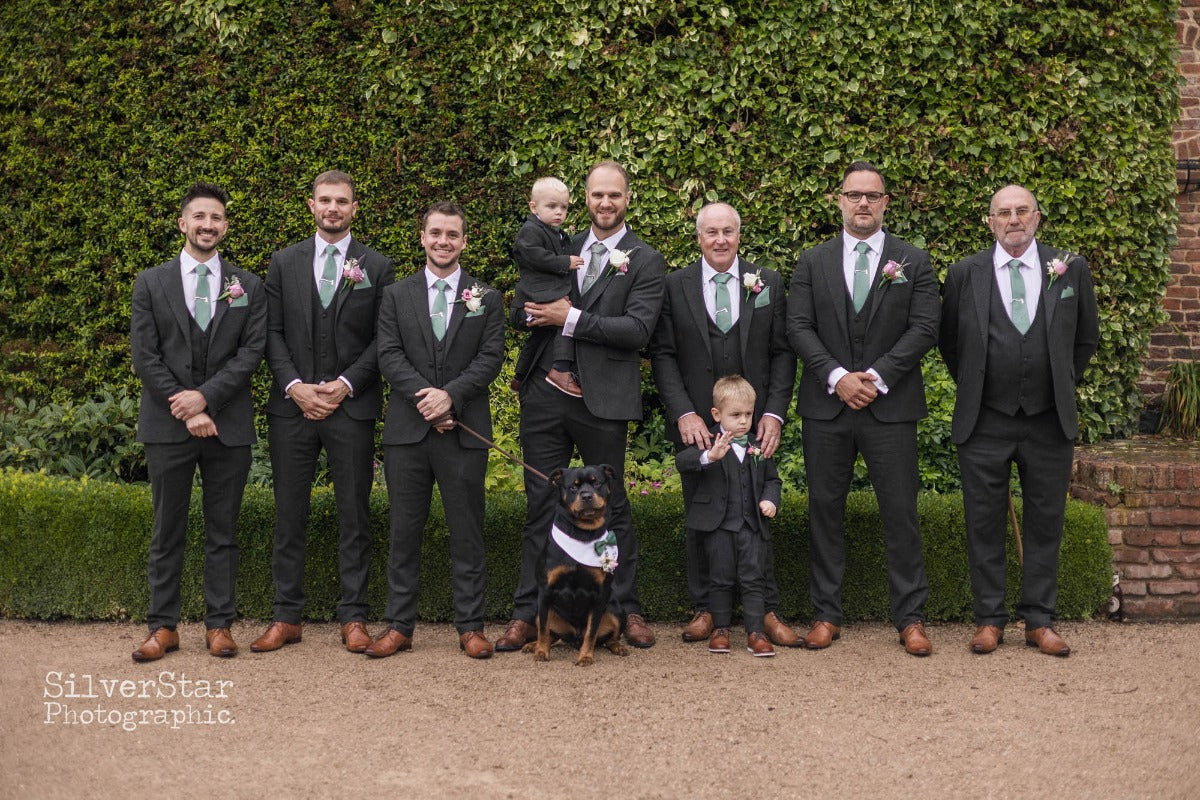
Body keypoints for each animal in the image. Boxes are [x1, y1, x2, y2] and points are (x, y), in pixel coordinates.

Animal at [528, 465, 633, 666]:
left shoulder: (600, 595)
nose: (586, 496)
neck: (582, 533)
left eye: (596, 483)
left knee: (610, 637)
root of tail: (574, 638)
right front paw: (541, 652)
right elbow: (543, 629)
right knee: (551, 634)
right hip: (540, 610)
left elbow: (591, 632)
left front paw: (585, 656)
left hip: (616, 610)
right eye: (573, 487)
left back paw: (618, 647)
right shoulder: (545, 591)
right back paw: (532, 645)